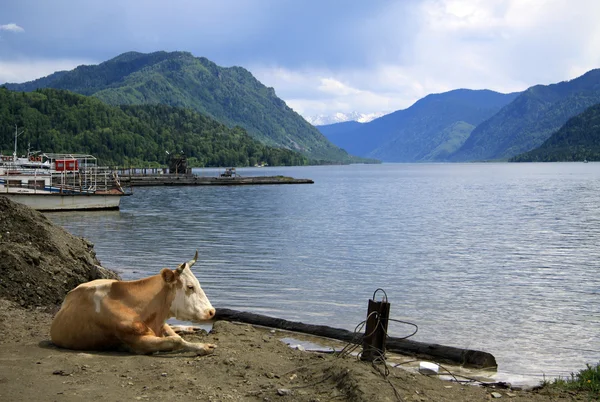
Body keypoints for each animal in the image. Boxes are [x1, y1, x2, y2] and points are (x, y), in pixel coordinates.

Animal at [51, 250, 216, 356]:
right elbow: (175, 340)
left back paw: (191, 328)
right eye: (190, 286)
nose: (212, 311)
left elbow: (174, 336)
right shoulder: (136, 342)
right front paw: (203, 346)